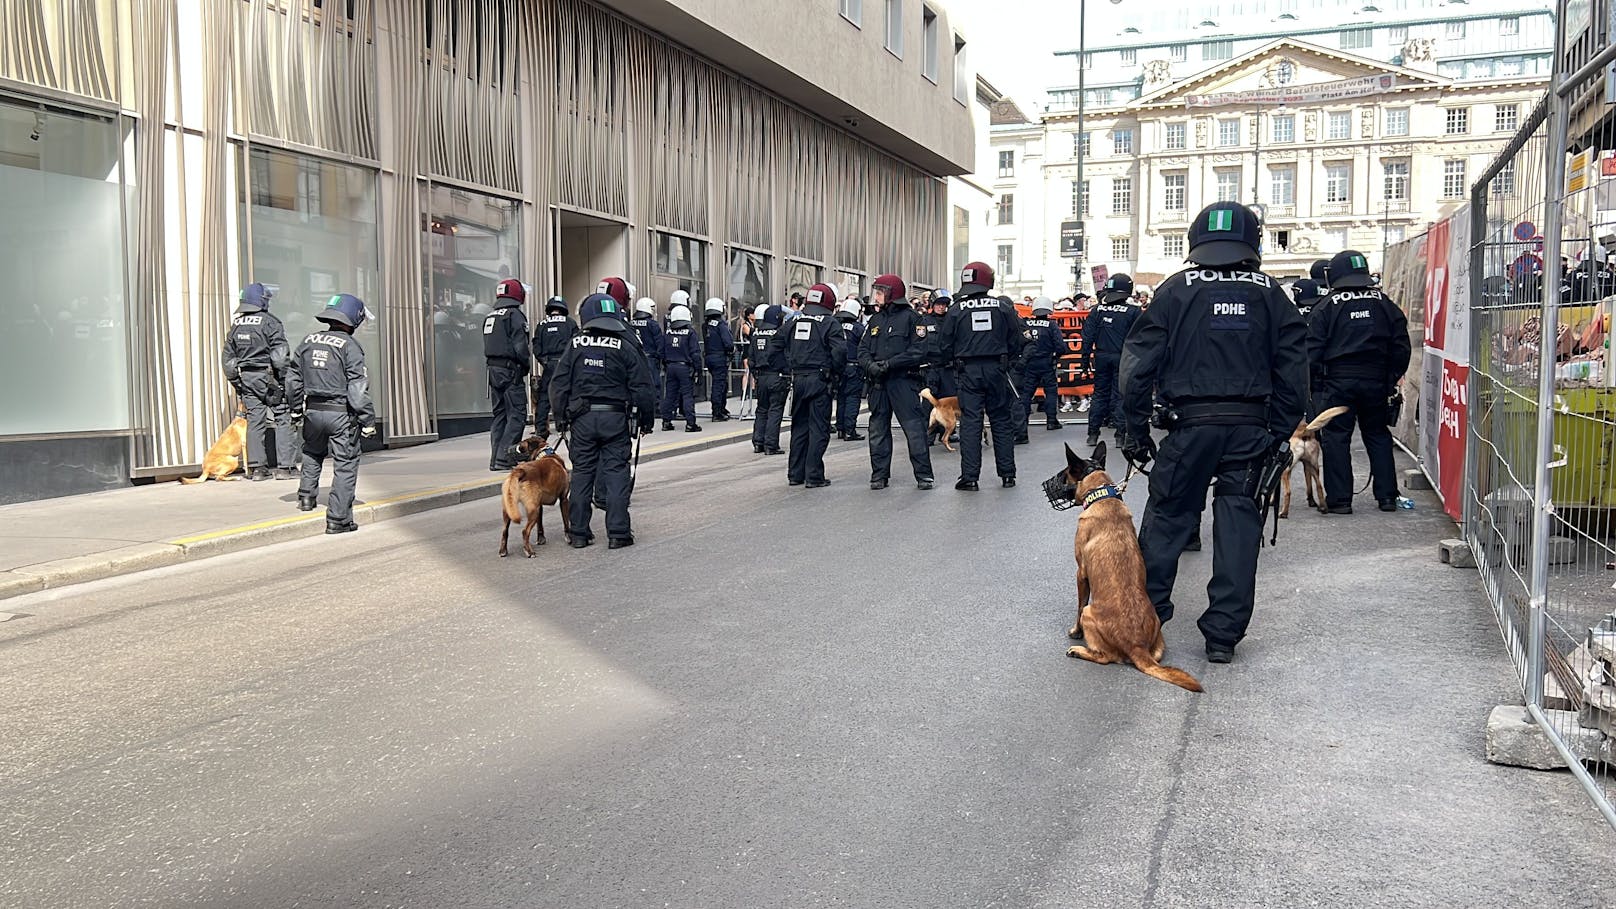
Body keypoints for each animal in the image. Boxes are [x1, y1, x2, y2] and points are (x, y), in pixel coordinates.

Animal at [1047, 443, 1202, 689]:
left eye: (1064, 474)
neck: (1101, 495)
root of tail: (1137, 647)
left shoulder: (1081, 574)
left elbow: (1079, 605)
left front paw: (1075, 632)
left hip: (1091, 614)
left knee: (1106, 657)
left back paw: (1079, 650)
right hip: (1157, 640)